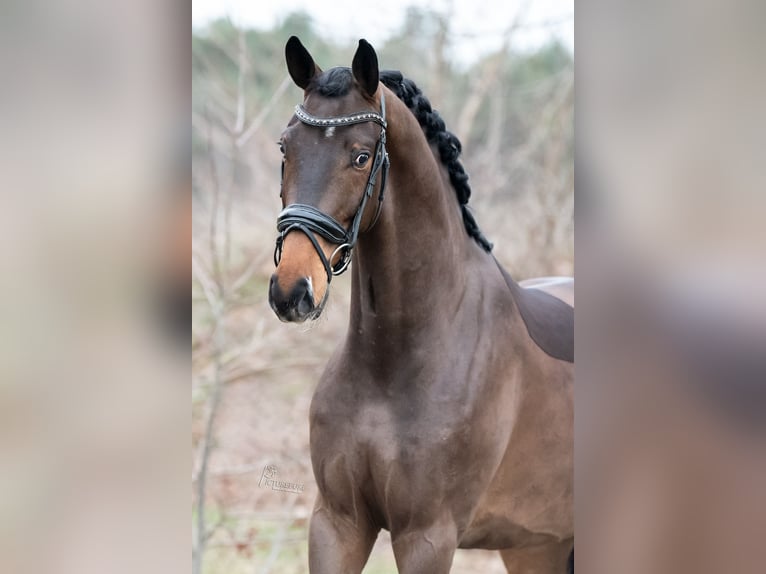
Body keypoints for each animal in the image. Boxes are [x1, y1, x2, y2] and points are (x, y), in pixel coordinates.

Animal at [268, 36, 574, 574]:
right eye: (287, 147)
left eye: (361, 156)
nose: (292, 291)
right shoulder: (338, 523)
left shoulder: (428, 536)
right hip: (538, 544)